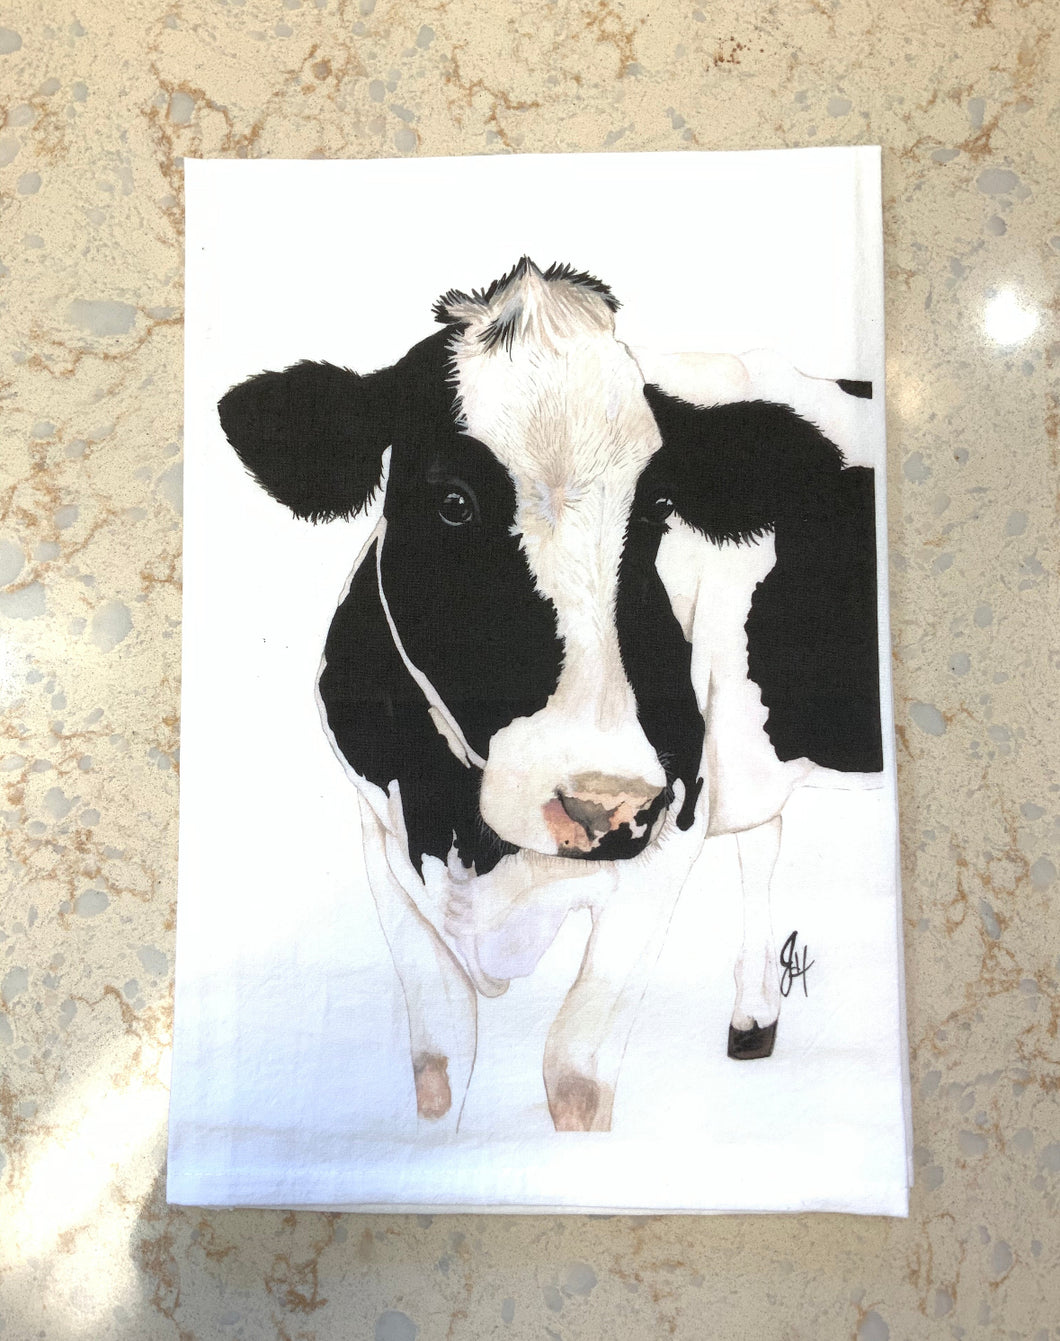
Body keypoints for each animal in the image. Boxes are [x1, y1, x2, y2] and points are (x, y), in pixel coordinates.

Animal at [217, 257, 881, 1133]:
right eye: (454, 501)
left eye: (658, 508)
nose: (604, 806)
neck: (466, 833)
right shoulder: (384, 843)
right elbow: (438, 1068)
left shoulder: (670, 831)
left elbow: (573, 1072)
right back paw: (755, 1015)